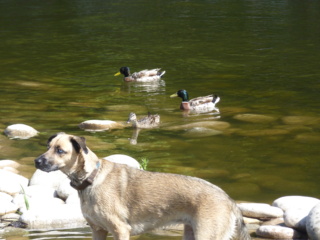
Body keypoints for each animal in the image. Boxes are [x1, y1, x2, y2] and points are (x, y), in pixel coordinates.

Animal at [34, 132, 250, 240]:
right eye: (48, 147)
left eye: (60, 150)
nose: (37, 161)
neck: (91, 178)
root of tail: (229, 199)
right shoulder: (97, 230)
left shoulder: (121, 230)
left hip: (207, 235)